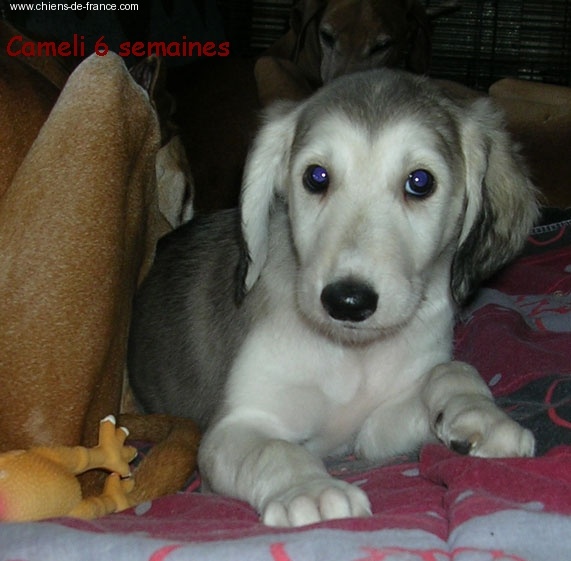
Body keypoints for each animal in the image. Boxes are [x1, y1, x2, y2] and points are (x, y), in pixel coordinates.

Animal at [128, 68, 538, 527]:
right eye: (316, 177)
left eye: (420, 182)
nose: (348, 302)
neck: (353, 355)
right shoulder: (236, 428)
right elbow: (275, 450)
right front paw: (311, 488)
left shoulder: (373, 432)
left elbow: (452, 369)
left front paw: (480, 414)